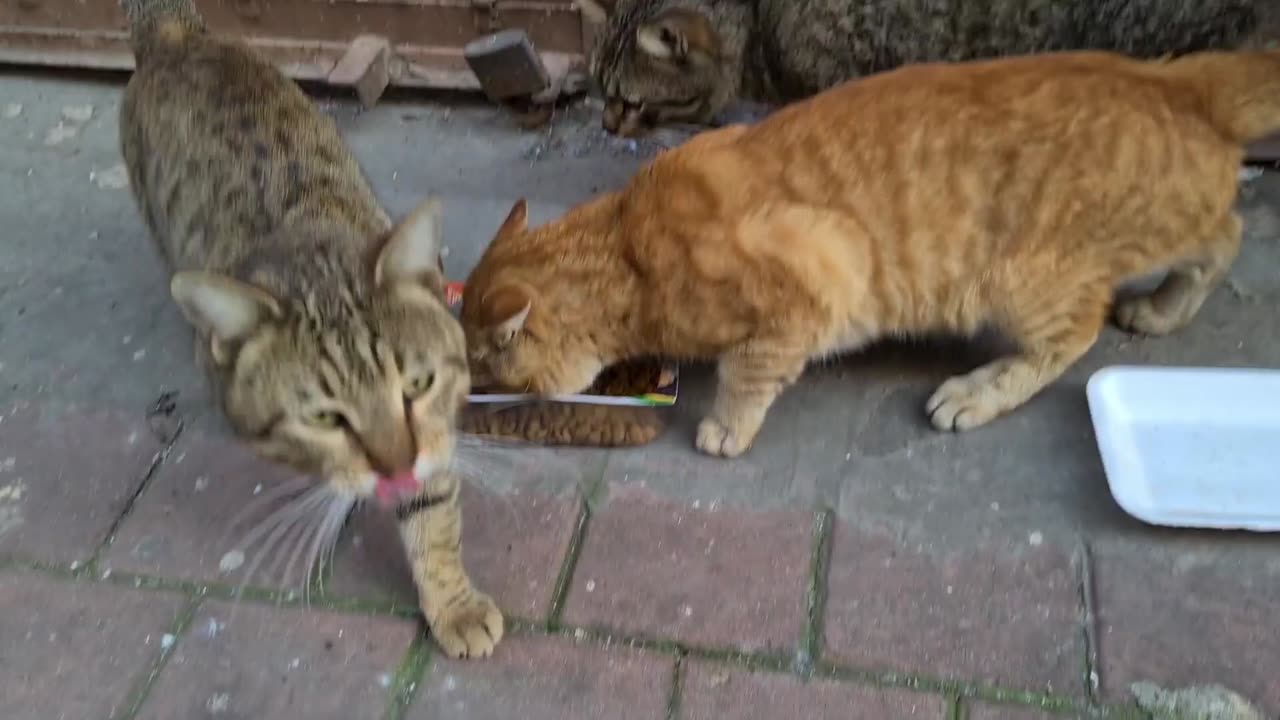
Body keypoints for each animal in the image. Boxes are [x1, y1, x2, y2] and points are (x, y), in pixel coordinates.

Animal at [117, 0, 501, 655]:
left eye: (417, 385)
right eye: (324, 417)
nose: (396, 469)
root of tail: (174, 34)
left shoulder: (433, 434)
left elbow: (432, 507)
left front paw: (454, 602)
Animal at [460, 47, 1280, 456]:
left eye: (479, 369)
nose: (465, 399)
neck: (629, 248)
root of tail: (1177, 78)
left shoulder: (821, 274)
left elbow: (747, 370)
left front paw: (728, 426)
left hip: (1022, 280)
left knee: (1074, 334)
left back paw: (977, 391)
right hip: (1171, 222)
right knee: (1223, 234)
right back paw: (1165, 310)